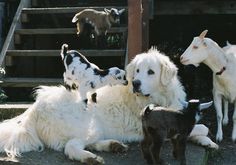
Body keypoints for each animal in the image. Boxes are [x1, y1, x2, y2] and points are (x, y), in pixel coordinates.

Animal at [0, 47, 218, 164]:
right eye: (137, 71)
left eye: (150, 72)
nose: (135, 83)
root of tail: (34, 110)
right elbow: (202, 127)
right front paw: (204, 138)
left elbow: (200, 129)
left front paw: (207, 143)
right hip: (90, 124)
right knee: (71, 147)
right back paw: (90, 157)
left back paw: (113, 145)